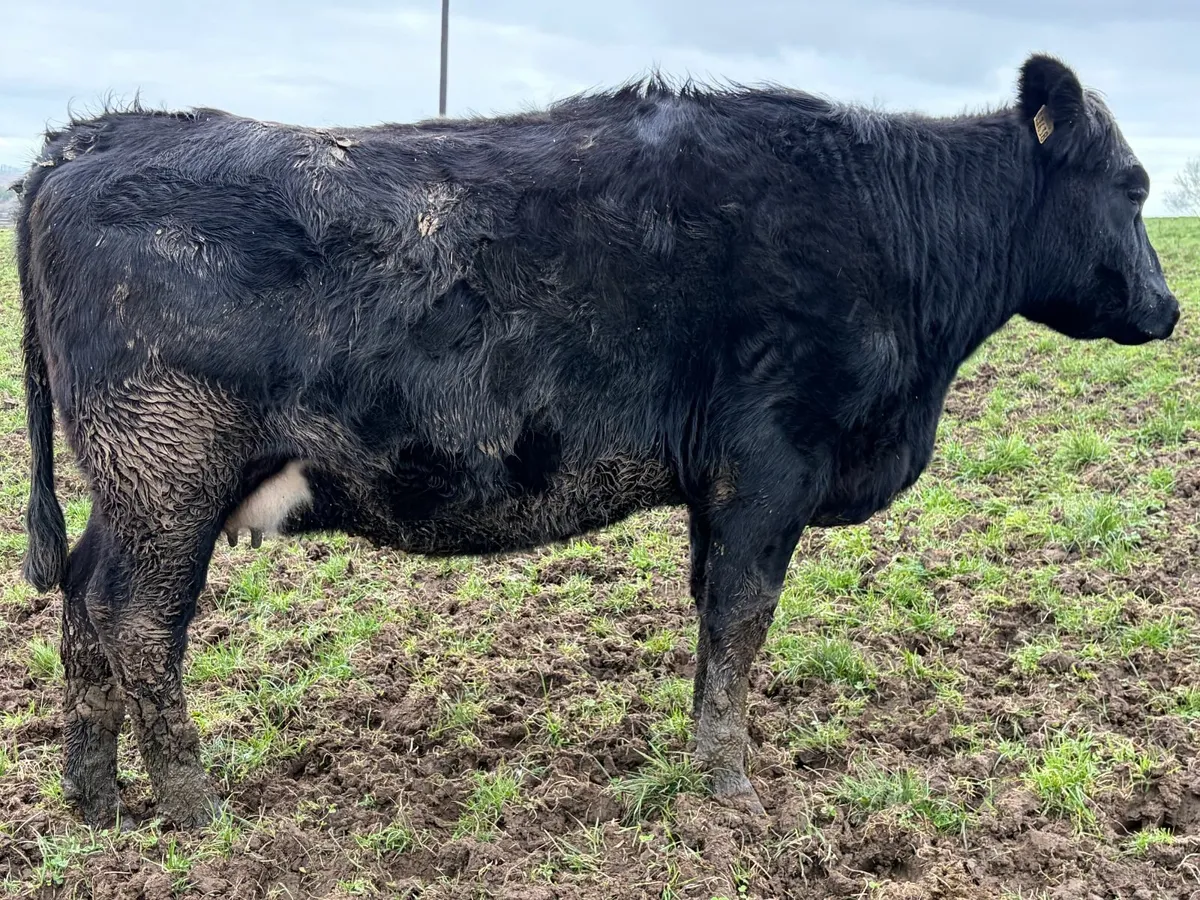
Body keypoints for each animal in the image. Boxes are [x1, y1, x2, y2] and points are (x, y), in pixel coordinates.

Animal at [14, 52, 1178, 829]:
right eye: (1132, 187)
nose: (1169, 309)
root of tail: (92, 140)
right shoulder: (769, 468)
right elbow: (742, 626)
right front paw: (733, 794)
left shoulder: (721, 490)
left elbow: (716, 628)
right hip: (170, 473)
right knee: (134, 624)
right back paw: (196, 811)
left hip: (132, 489)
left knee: (80, 608)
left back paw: (96, 804)